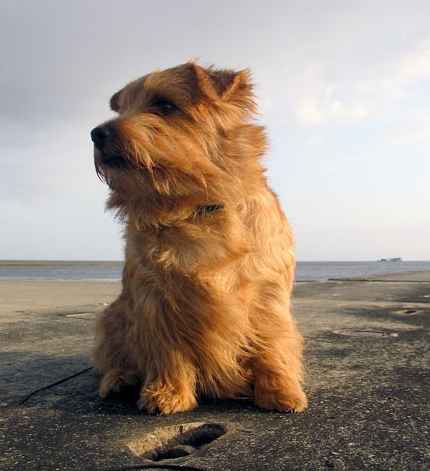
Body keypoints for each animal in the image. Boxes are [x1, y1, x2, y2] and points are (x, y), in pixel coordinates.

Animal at [90, 63, 308, 416]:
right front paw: (167, 395)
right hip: (113, 317)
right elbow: (168, 353)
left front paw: (280, 392)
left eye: (164, 105)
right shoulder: (157, 301)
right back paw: (118, 379)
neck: (196, 208)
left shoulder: (267, 296)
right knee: (113, 357)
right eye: (121, 109)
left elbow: (271, 345)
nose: (97, 134)